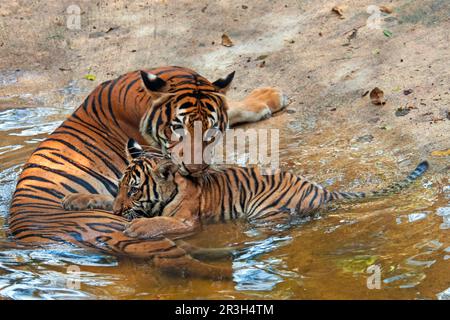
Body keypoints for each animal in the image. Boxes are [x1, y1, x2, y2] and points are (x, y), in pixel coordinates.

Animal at [90, 139, 428, 240]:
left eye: (135, 190)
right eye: (121, 187)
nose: (118, 210)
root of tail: (322, 189)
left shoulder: (187, 222)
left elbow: (159, 221)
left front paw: (136, 227)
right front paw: (86, 201)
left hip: (263, 210)